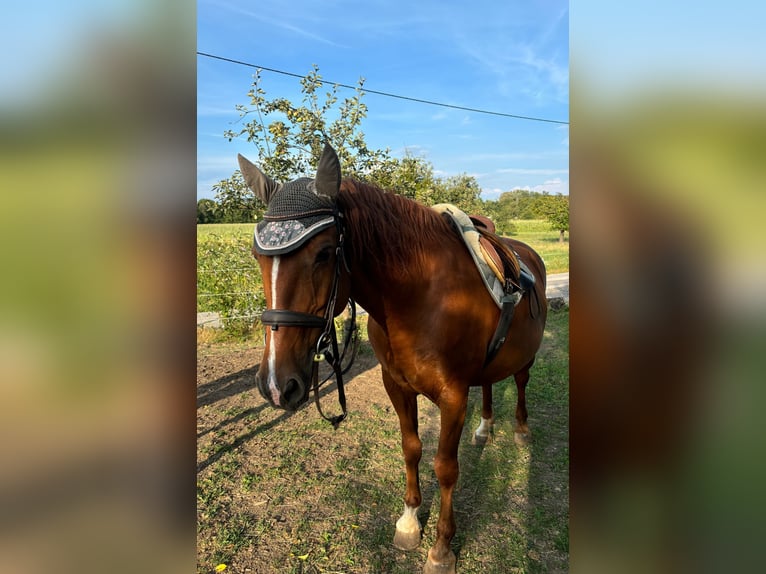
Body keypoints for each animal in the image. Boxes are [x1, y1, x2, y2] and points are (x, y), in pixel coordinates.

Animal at [238, 145, 544, 574]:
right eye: (256, 257)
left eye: (325, 253)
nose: (276, 385)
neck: (420, 296)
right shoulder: (396, 385)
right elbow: (411, 448)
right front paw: (409, 521)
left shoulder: (453, 395)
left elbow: (445, 467)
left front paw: (441, 547)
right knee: (488, 384)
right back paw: (484, 429)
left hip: (524, 360)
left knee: (519, 383)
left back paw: (520, 430)